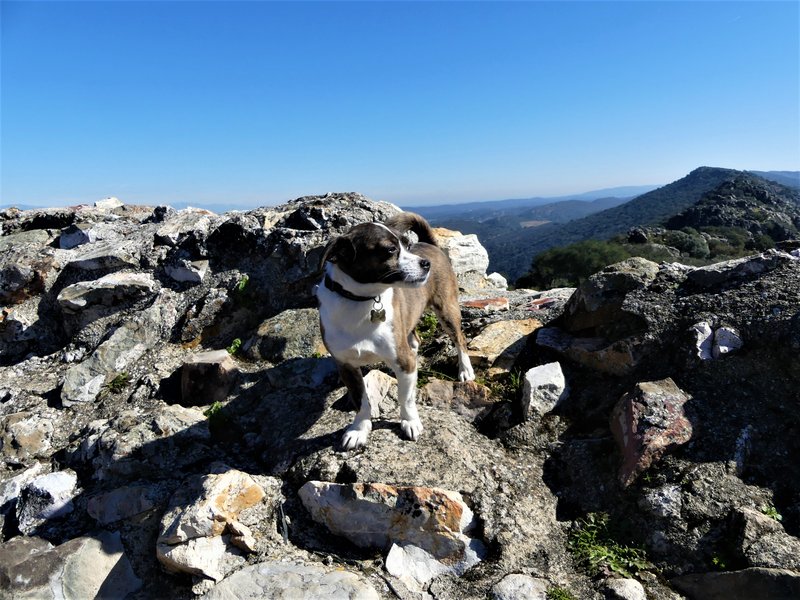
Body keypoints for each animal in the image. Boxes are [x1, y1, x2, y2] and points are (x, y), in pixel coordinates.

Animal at [318, 213, 476, 448]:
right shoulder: (345, 365)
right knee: (415, 340)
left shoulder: (403, 361)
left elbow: (406, 397)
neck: (360, 301)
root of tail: (430, 244)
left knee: (460, 339)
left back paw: (465, 370)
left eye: (407, 245)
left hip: (447, 309)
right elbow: (360, 401)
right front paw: (359, 429)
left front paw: (410, 421)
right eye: (391, 250)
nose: (425, 264)